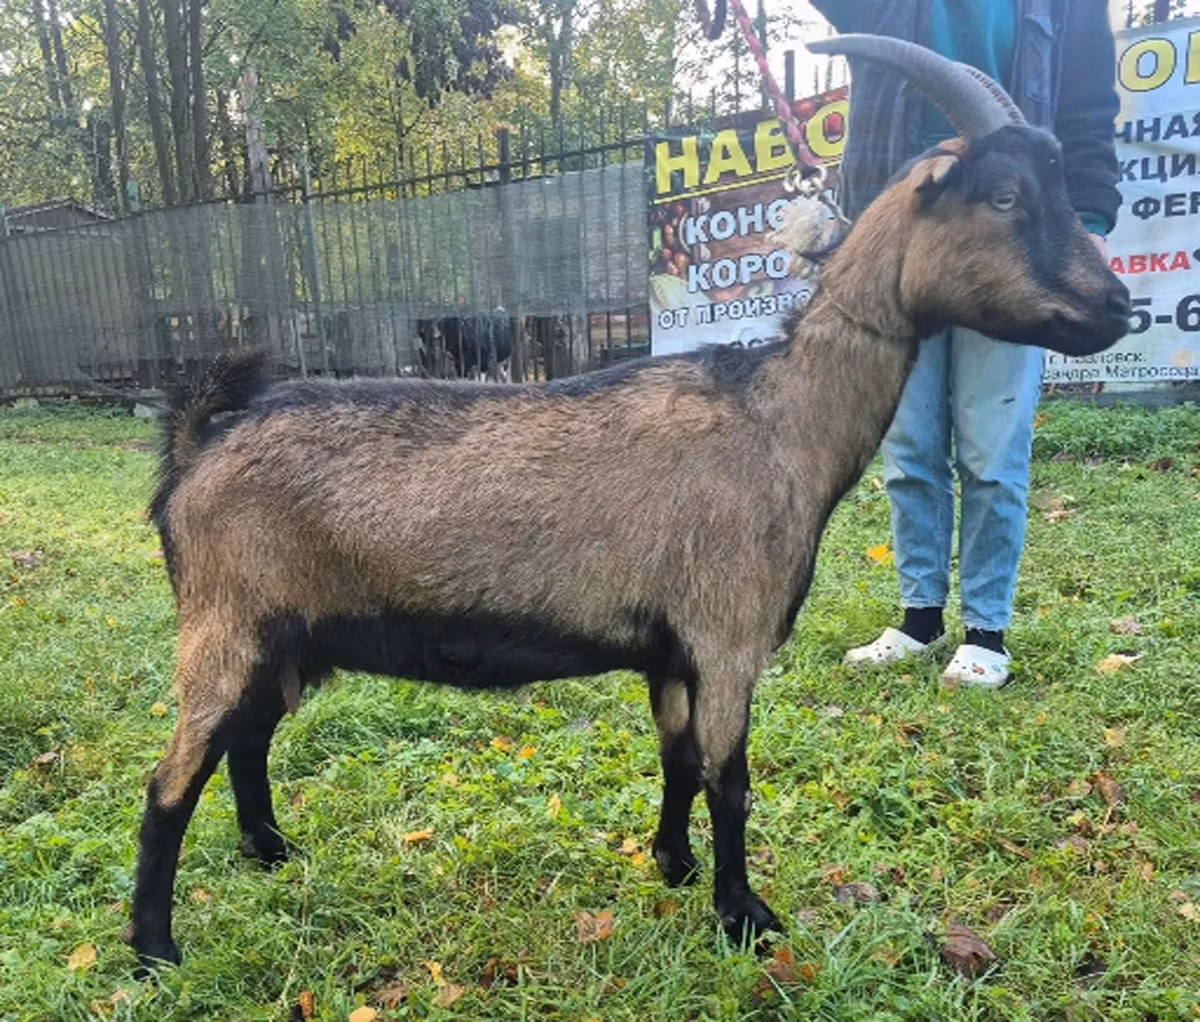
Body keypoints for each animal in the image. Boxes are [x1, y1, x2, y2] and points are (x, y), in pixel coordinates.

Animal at [127, 34, 1130, 969]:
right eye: (1005, 198)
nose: (1121, 309)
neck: (778, 417)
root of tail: (198, 447)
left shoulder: (673, 649)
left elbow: (679, 761)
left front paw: (674, 868)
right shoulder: (727, 635)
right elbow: (731, 778)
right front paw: (745, 918)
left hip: (285, 634)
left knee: (247, 741)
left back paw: (270, 852)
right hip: (226, 624)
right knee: (170, 781)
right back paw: (154, 950)